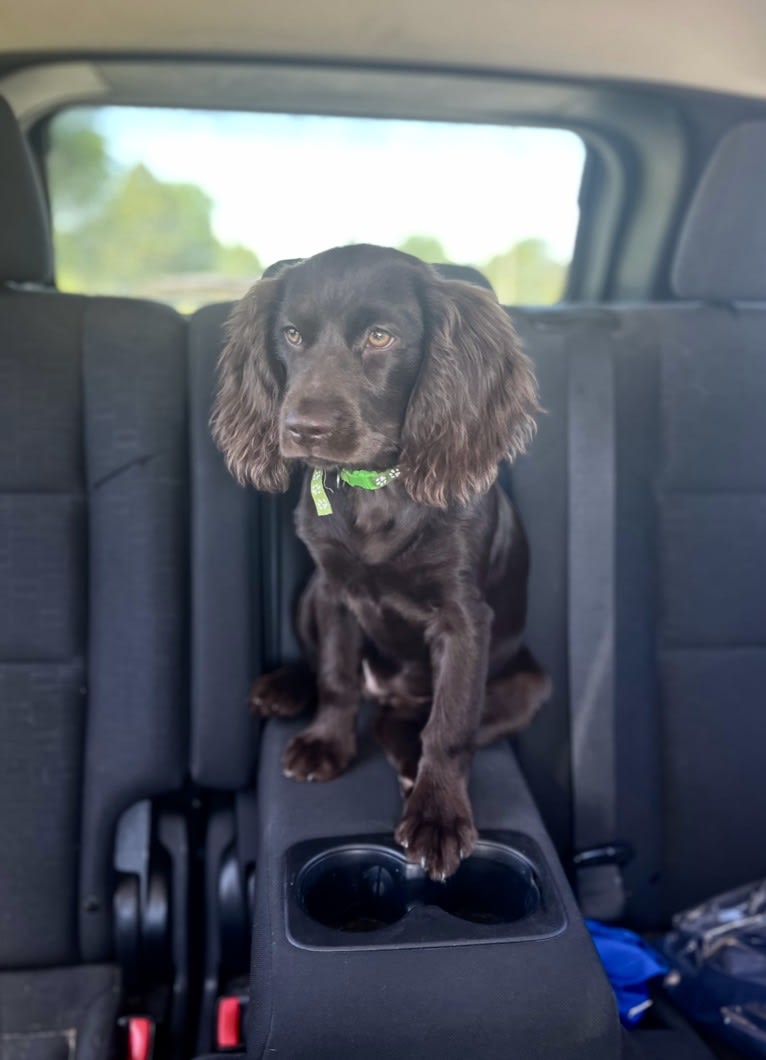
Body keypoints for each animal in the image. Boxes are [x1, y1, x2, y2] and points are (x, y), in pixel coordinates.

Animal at [212, 245, 546, 877]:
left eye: (380, 337)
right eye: (292, 335)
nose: (303, 428)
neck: (374, 490)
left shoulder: (466, 620)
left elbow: (450, 724)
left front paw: (438, 815)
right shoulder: (334, 591)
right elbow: (336, 677)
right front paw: (327, 744)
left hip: (528, 686)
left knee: (413, 719)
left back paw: (409, 761)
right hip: (307, 596)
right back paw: (286, 687)